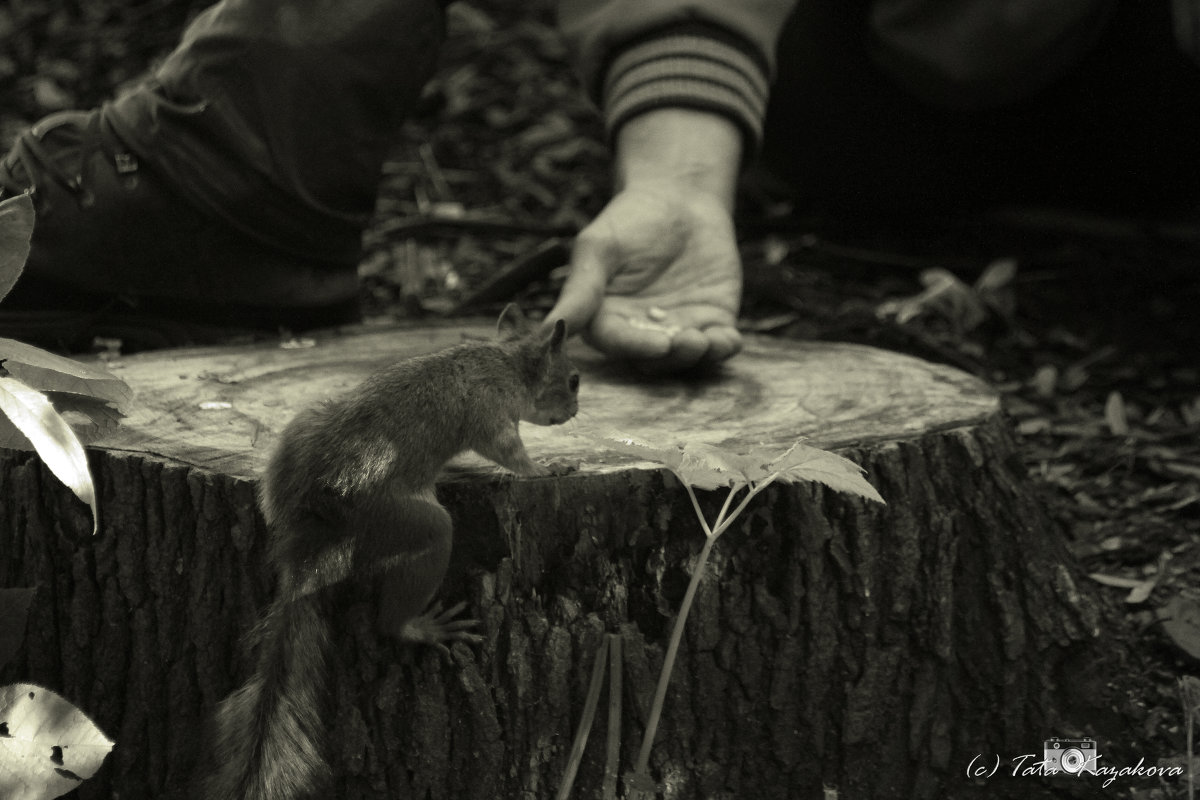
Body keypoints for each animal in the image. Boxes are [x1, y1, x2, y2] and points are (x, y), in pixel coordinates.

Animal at [196, 304, 580, 800]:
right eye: (574, 380)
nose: (574, 411)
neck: (507, 362)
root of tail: (316, 524)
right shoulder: (493, 414)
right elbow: (511, 455)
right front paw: (550, 467)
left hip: (303, 431)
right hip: (405, 520)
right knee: (397, 608)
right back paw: (420, 628)